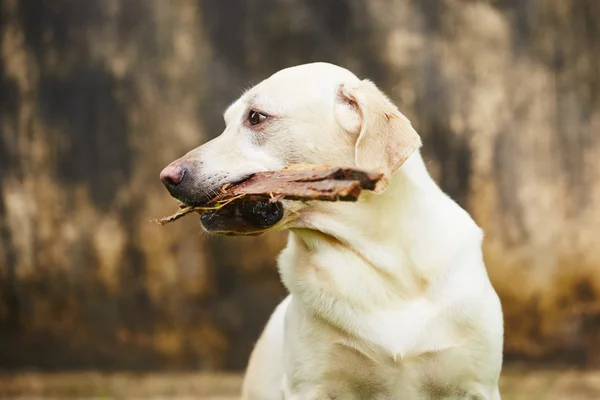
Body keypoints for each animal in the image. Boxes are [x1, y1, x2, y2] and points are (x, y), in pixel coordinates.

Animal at [159, 63, 502, 400]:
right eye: (227, 122)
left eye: (256, 117)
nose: (167, 177)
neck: (380, 265)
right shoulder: (309, 386)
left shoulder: (480, 386)